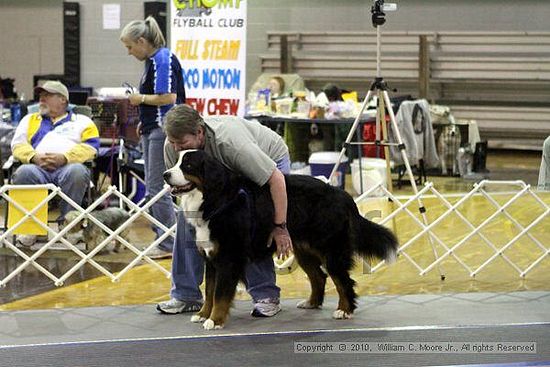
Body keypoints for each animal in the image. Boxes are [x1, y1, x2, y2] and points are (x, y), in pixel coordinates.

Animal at [162, 150, 398, 330]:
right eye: (176, 162)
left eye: (188, 165)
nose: (165, 174)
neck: (217, 199)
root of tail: (342, 195)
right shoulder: (211, 258)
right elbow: (210, 291)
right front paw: (203, 314)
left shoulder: (229, 259)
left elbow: (220, 294)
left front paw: (214, 320)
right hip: (304, 250)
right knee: (319, 277)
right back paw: (311, 303)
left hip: (331, 251)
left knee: (343, 281)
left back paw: (344, 310)